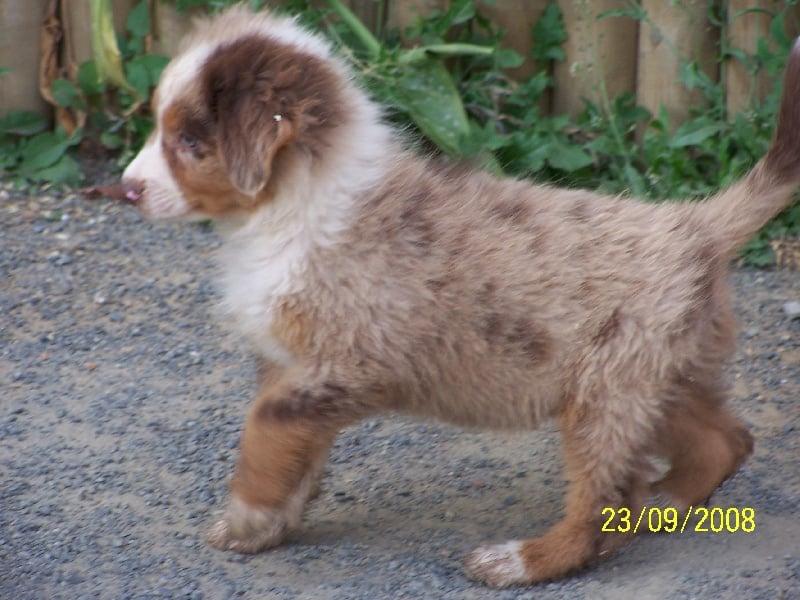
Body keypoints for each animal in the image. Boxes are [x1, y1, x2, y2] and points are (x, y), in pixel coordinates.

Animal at [115, 4, 800, 584]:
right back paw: (671, 499)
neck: (296, 204)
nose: (125, 190)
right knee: (726, 440)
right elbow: (293, 450)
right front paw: (272, 523)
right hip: (659, 375)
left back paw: (519, 560)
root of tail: (696, 226)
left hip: (607, 392)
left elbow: (264, 430)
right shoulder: (291, 366)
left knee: (605, 505)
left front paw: (247, 518)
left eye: (192, 142)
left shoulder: (344, 364)